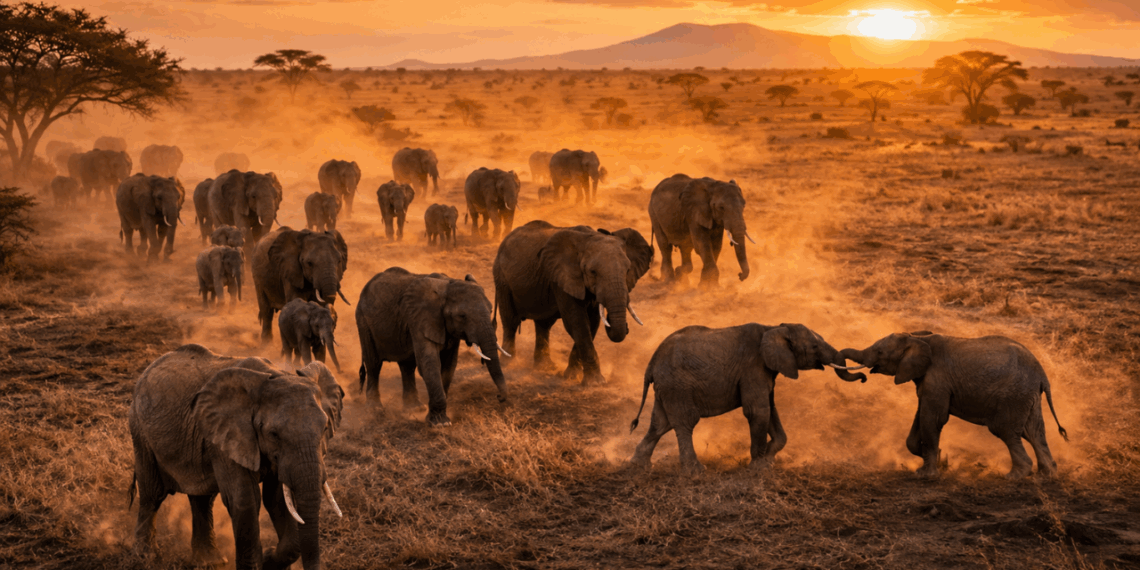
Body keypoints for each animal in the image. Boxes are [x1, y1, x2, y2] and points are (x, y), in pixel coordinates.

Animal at [129, 345, 344, 570]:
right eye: (274, 434)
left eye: (325, 428)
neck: (276, 374)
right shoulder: (227, 436)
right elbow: (245, 500)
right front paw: (264, 559)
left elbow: (276, 499)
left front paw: (268, 558)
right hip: (140, 430)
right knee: (152, 493)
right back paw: (145, 557)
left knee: (202, 498)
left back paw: (209, 561)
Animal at [356, 267, 508, 425]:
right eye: (462, 316)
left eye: (490, 311)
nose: (499, 398)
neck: (448, 285)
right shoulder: (419, 319)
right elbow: (429, 363)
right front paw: (440, 423)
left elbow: (449, 365)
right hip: (363, 321)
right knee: (373, 364)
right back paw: (374, 410)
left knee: (407, 366)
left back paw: (414, 409)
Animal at [493, 220, 654, 385]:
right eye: (593, 272)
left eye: (627, 270)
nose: (626, 327)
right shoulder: (563, 277)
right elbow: (577, 322)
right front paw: (595, 383)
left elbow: (592, 323)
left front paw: (571, 376)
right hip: (501, 278)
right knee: (510, 321)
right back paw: (509, 364)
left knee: (544, 324)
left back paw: (545, 367)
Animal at [628, 323, 867, 474]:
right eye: (815, 346)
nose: (864, 378)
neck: (774, 327)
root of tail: (651, 362)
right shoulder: (753, 367)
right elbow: (758, 411)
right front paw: (758, 468)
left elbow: (770, 409)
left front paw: (769, 461)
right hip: (677, 385)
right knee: (685, 422)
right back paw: (695, 472)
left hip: (667, 387)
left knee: (660, 423)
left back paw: (639, 467)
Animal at [840, 332, 1069, 479]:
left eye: (880, 352)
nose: (863, 378)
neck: (918, 337)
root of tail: (1042, 375)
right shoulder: (927, 381)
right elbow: (920, 416)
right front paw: (939, 460)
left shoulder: (937, 378)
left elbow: (933, 418)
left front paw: (927, 475)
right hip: (1027, 396)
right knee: (1034, 432)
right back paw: (1046, 476)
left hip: (1013, 396)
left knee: (1006, 431)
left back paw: (1015, 477)